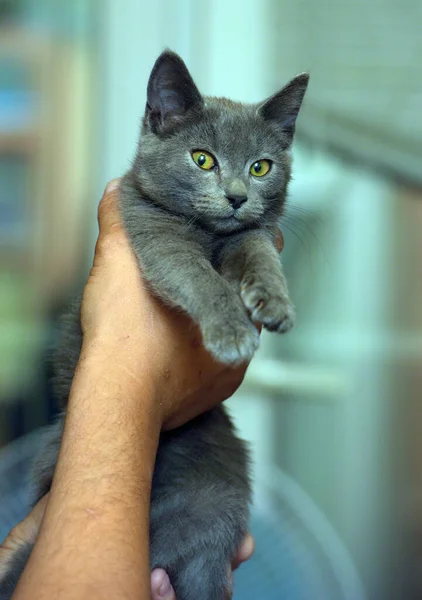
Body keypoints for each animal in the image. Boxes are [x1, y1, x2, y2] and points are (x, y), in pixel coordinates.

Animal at [0, 52, 310, 600]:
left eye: (260, 167)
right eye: (203, 159)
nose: (236, 196)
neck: (209, 234)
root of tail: (171, 541)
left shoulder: (252, 234)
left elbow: (256, 250)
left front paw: (274, 303)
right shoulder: (152, 230)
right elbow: (194, 274)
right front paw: (231, 331)